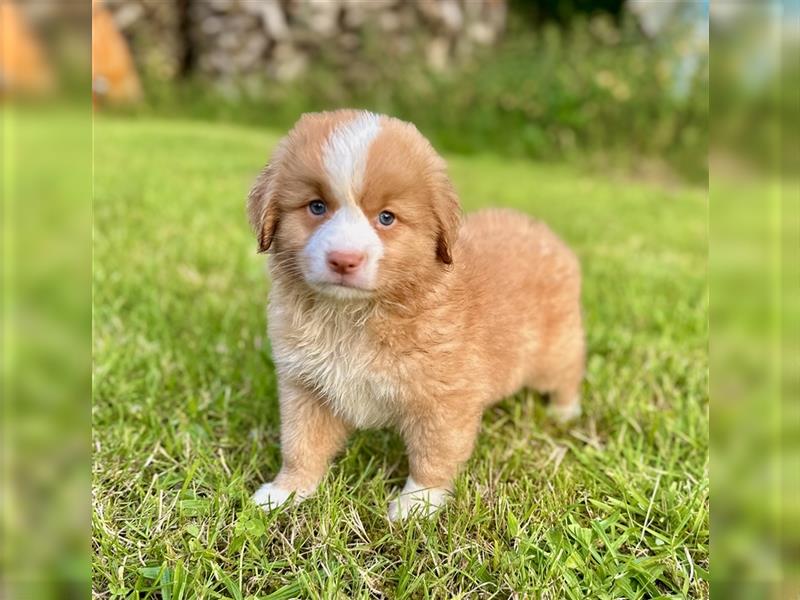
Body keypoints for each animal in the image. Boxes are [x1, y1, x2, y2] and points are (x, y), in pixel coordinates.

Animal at [247, 109, 584, 520]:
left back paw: (565, 413)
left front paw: (415, 505)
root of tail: (546, 234)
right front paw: (285, 492)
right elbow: (301, 446)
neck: (353, 315)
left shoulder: (443, 401)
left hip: (556, 352)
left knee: (568, 373)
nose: (344, 259)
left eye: (386, 218)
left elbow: (432, 457)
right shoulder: (306, 389)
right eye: (316, 207)